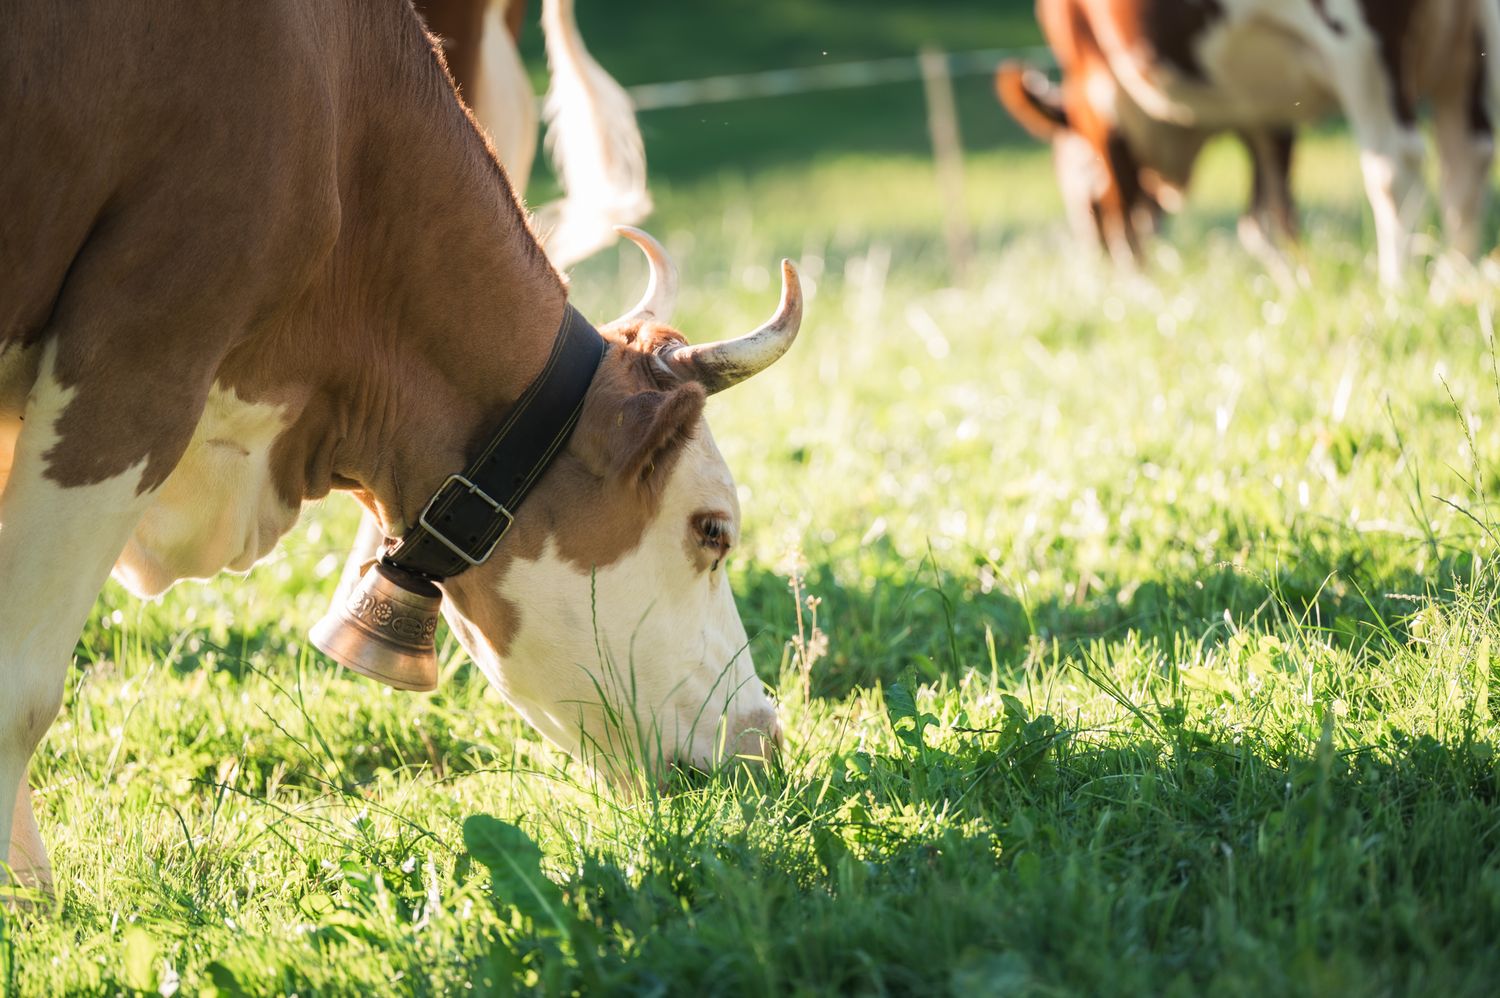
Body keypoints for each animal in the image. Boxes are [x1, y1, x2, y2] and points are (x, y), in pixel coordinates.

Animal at [996, 0, 1495, 286]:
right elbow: (1267, 217)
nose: (1091, 255)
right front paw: (1295, 283)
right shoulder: (1266, 111)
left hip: (1361, 42)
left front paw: (1137, 288)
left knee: (1396, 163)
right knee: (1466, 158)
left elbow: (1126, 215)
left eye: (1075, 189)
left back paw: (1399, 289)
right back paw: (1456, 284)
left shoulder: (1099, 99)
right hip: (1468, 42)